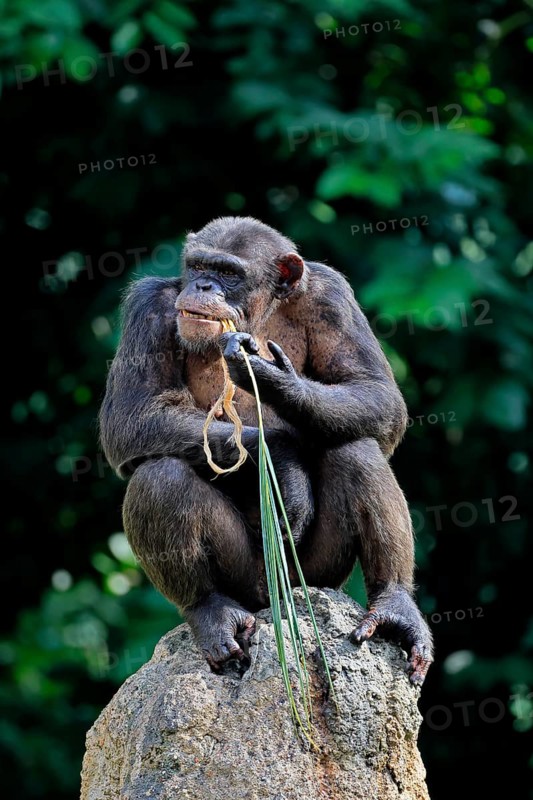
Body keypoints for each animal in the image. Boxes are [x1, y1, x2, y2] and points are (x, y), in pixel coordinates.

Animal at [99, 216, 433, 685]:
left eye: (228, 273)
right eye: (198, 265)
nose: (202, 285)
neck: (259, 311)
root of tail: (268, 601)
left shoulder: (333, 297)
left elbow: (376, 393)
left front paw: (274, 378)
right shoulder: (147, 309)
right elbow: (133, 415)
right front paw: (281, 457)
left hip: (313, 575)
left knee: (357, 448)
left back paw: (395, 607)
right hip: (246, 580)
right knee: (160, 476)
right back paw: (212, 612)